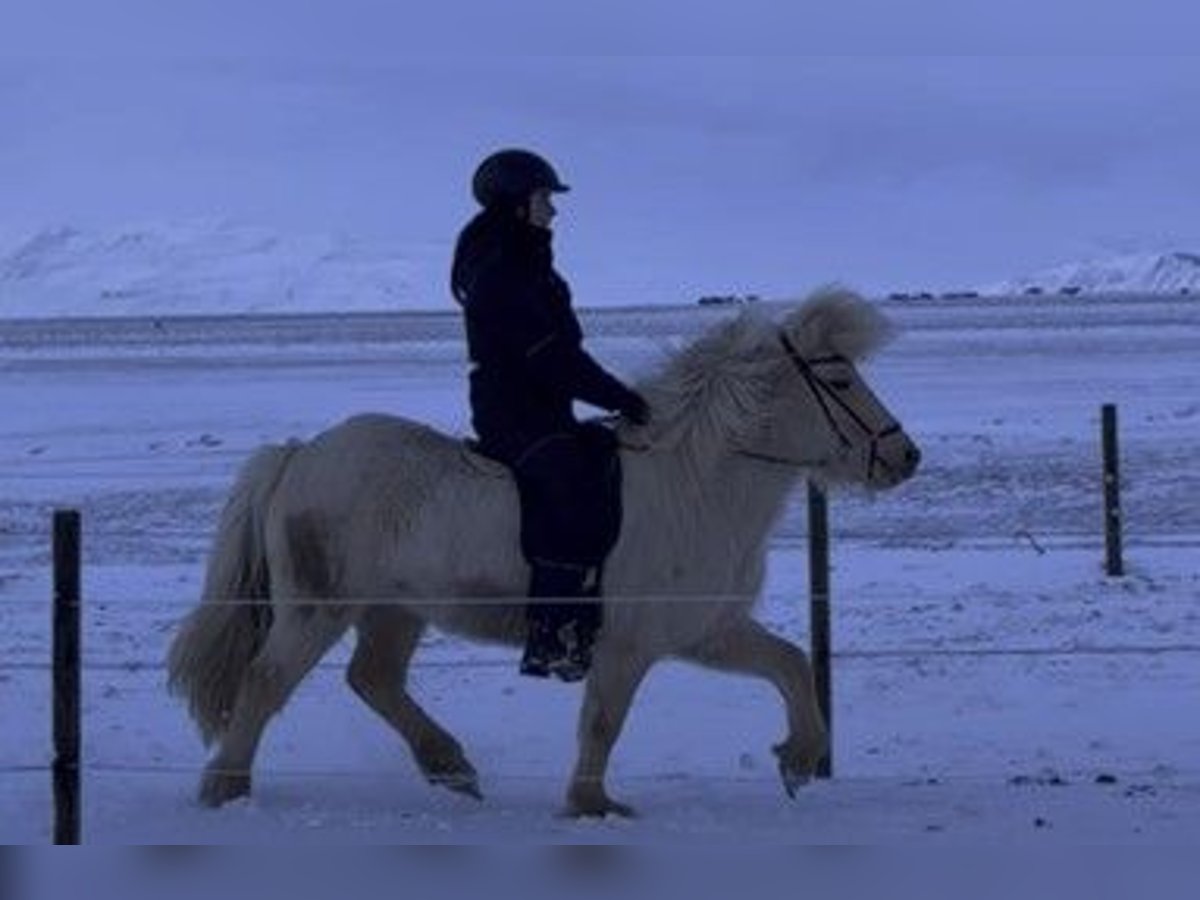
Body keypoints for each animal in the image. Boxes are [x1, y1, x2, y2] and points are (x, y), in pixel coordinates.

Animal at [166, 286, 916, 816]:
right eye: (840, 380)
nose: (905, 457)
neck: (695, 484)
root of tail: (300, 454)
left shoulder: (705, 629)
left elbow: (789, 664)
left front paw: (799, 759)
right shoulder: (629, 644)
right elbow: (603, 723)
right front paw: (591, 804)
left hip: (395, 611)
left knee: (372, 680)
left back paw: (451, 767)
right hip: (318, 607)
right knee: (265, 682)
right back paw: (225, 788)